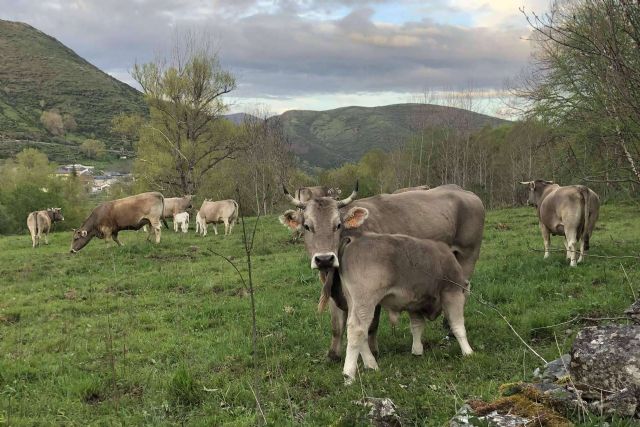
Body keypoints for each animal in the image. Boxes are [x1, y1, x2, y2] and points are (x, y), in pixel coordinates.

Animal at [280, 183, 484, 362]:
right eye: (307, 226)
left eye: (337, 225)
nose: (324, 259)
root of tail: (463, 191)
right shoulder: (332, 289)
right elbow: (336, 326)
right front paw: (332, 355)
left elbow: (371, 325)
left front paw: (373, 351)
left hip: (467, 256)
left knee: (464, 289)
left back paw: (450, 328)